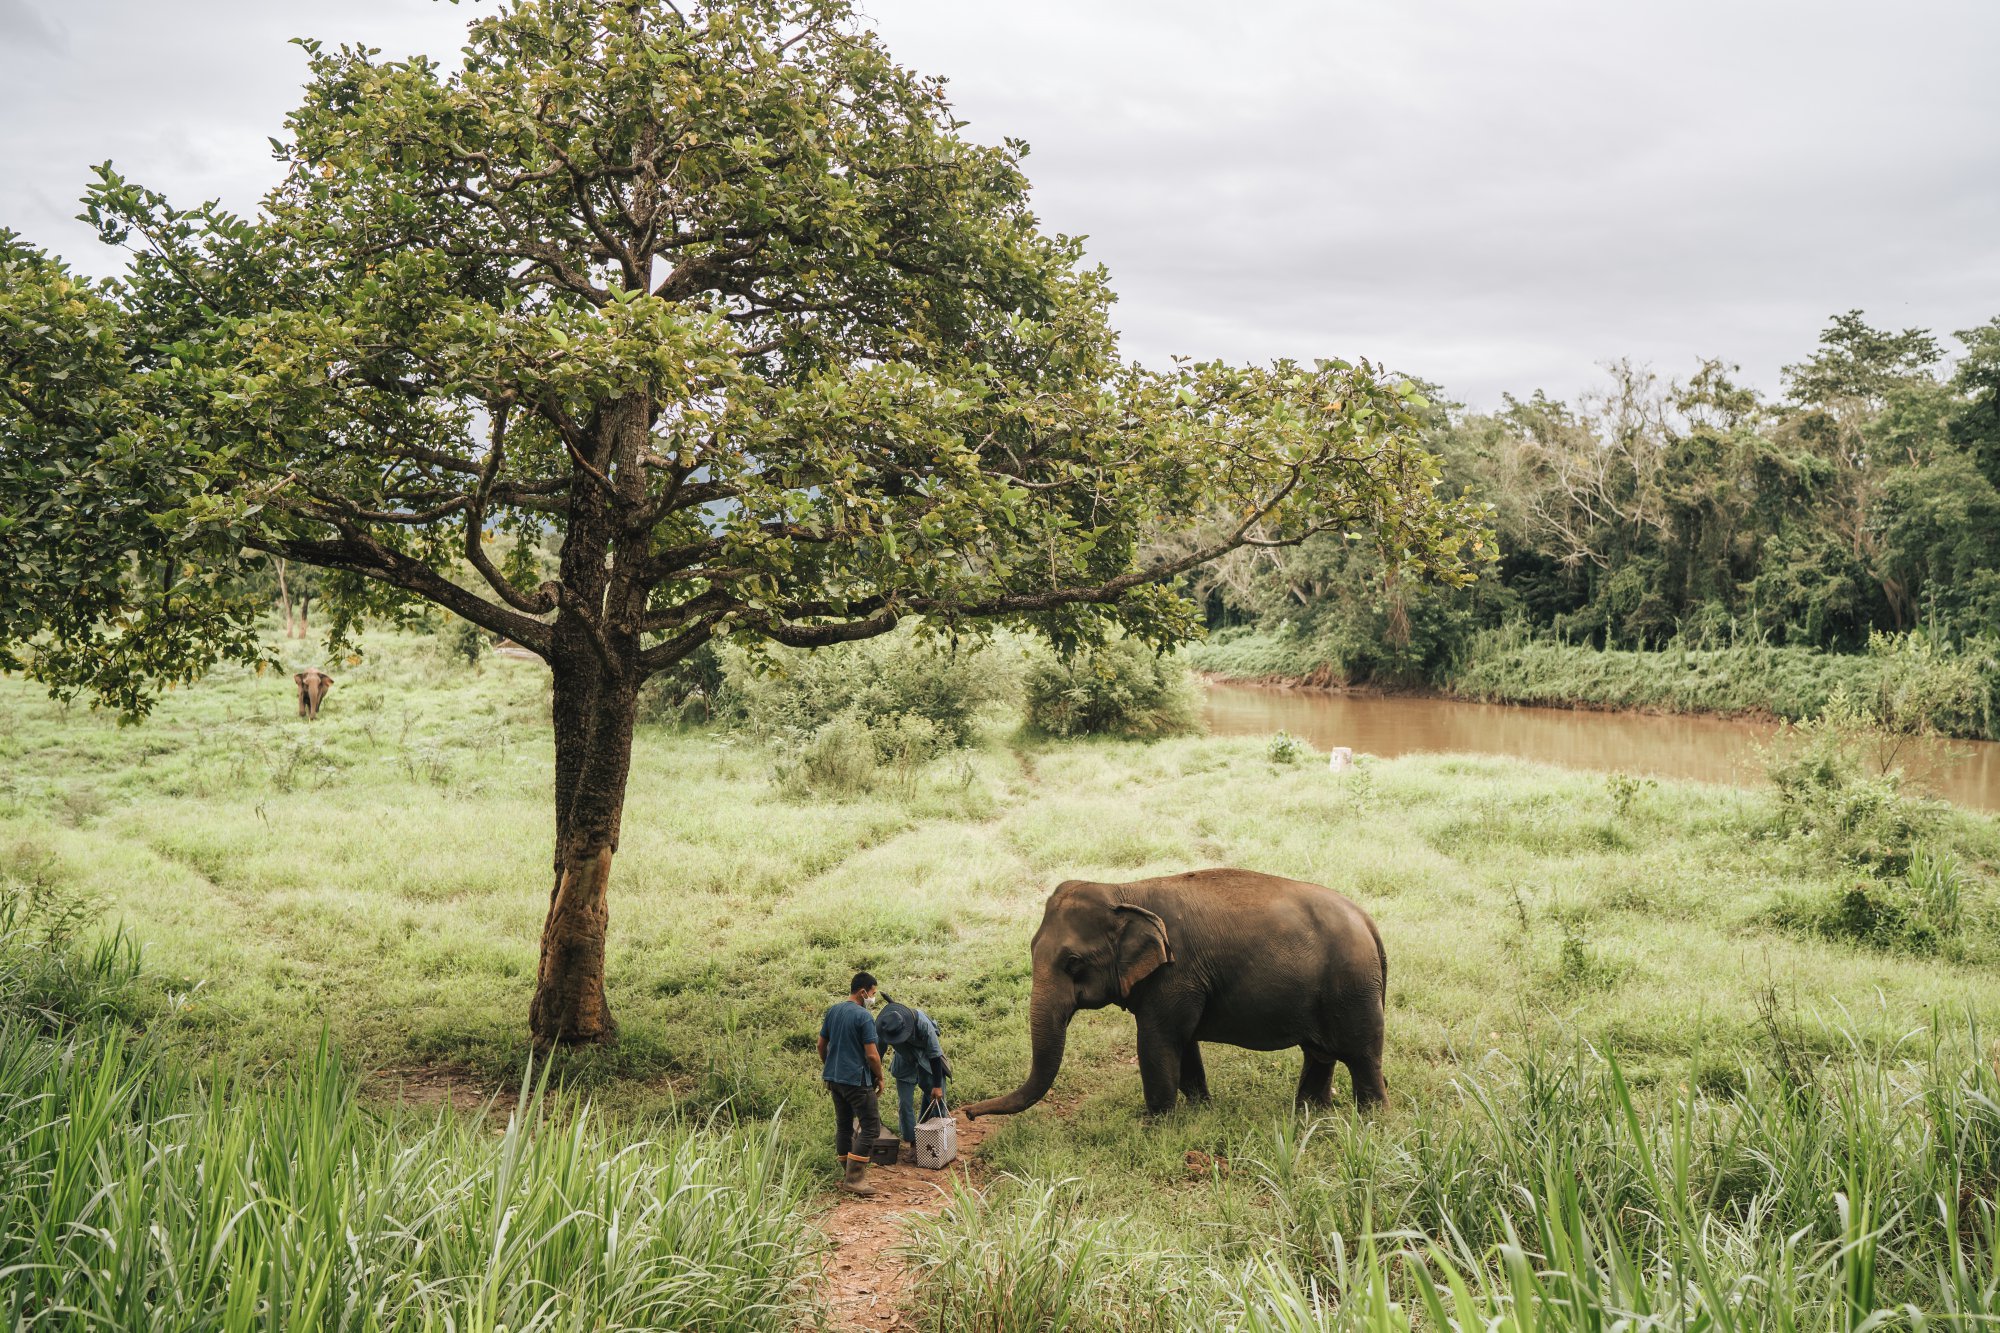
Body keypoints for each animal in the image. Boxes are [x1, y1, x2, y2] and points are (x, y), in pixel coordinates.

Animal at [960, 868, 1384, 1112]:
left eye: (1073, 963)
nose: (967, 1111)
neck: (1124, 891)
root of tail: (1368, 921)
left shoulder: (1175, 974)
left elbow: (1157, 1043)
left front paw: (1156, 1124)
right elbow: (1185, 1045)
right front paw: (1201, 1112)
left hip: (1353, 989)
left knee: (1362, 1057)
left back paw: (1369, 1120)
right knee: (1320, 1054)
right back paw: (1309, 1115)